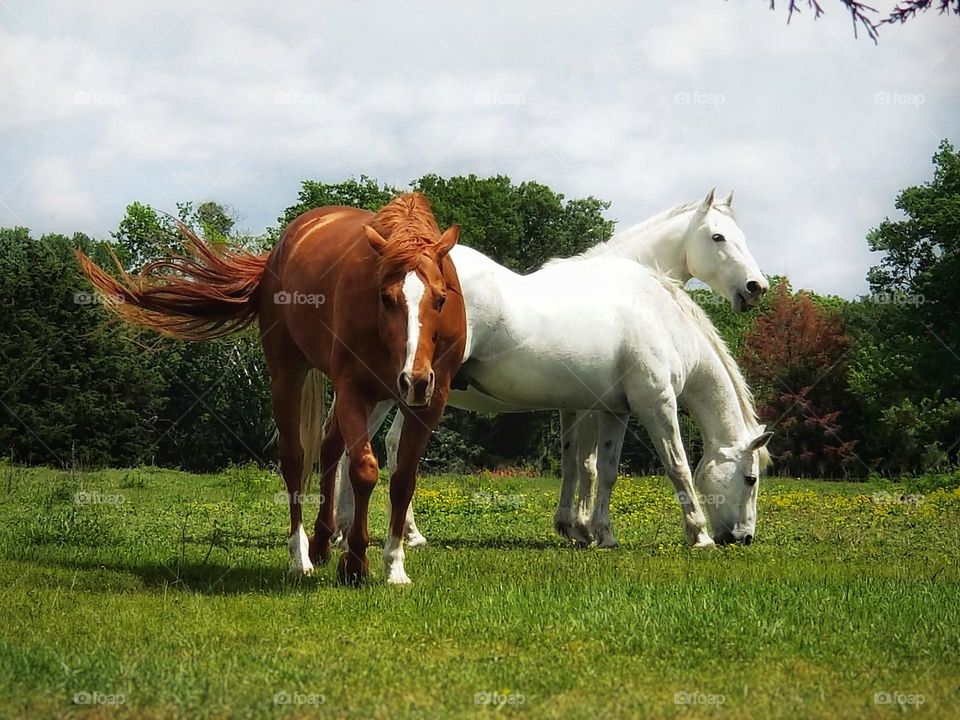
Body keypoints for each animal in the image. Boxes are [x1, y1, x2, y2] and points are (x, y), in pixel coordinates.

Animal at [77, 193, 466, 584]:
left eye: (440, 298)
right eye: (386, 297)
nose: (414, 379)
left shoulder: (430, 401)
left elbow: (403, 480)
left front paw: (394, 566)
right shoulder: (355, 389)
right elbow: (364, 471)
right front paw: (355, 563)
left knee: (328, 447)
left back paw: (322, 543)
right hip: (288, 375)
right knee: (295, 459)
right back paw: (301, 558)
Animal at [334, 190, 768, 556]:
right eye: (718, 237)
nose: (757, 287)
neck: (657, 314)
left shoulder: (604, 409)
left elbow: (594, 468)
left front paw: (591, 531)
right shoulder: (654, 403)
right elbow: (674, 466)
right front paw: (698, 534)